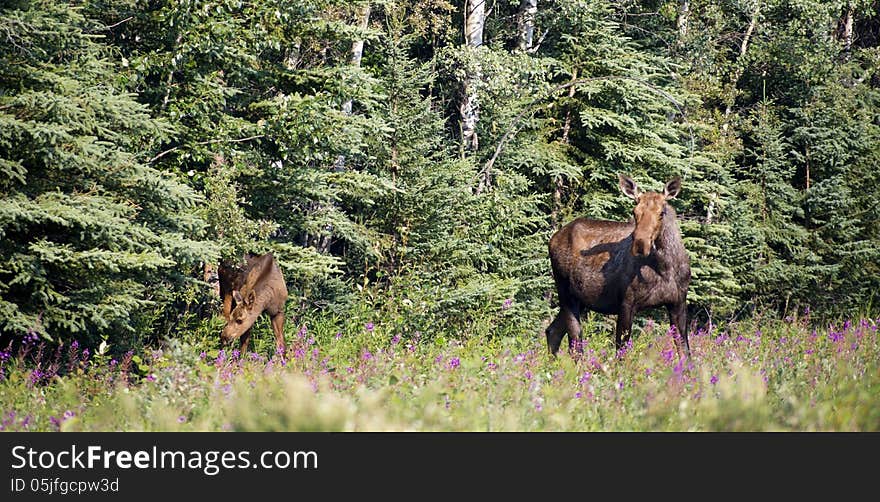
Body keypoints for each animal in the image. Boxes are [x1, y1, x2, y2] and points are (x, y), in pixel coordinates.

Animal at [548, 175, 692, 358]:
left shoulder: (678, 303)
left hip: (579, 300)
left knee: (553, 331)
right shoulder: (626, 303)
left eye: (662, 212)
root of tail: (553, 239)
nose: (640, 244)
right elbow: (621, 353)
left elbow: (685, 352)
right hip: (566, 293)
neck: (664, 268)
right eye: (634, 212)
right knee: (575, 344)